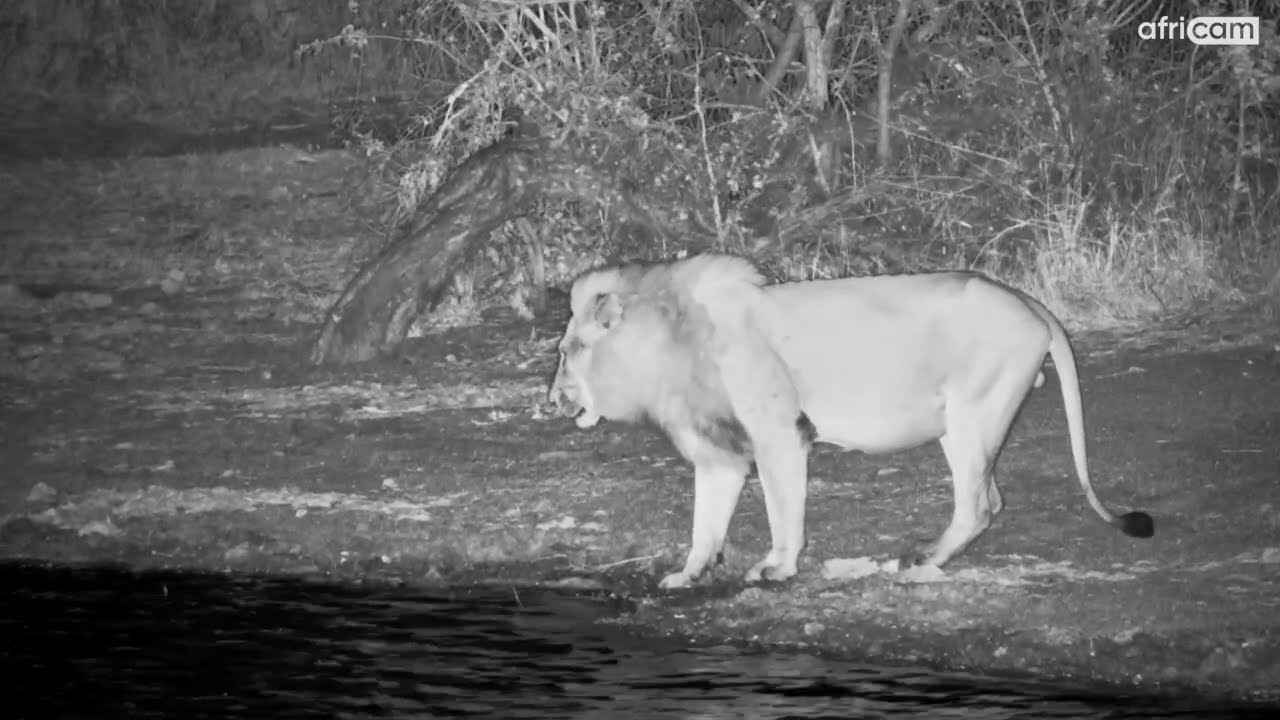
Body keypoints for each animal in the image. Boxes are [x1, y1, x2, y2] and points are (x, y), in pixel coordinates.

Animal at [548, 254, 1154, 589]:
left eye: (568, 350)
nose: (551, 399)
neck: (666, 343)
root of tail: (1031, 304)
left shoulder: (779, 435)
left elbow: (782, 511)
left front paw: (777, 569)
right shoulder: (718, 453)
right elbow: (705, 525)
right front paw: (687, 575)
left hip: (972, 415)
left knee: (978, 506)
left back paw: (920, 561)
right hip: (966, 425)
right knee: (992, 500)